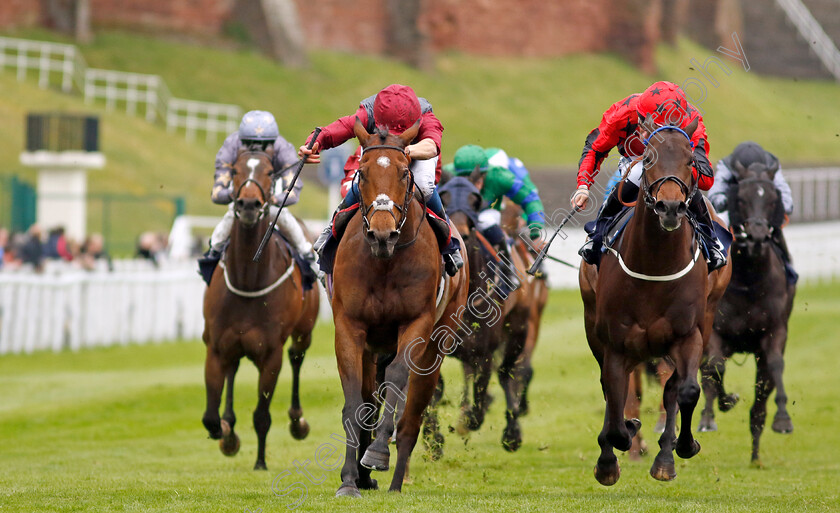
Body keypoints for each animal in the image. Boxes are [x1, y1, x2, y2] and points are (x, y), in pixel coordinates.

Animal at [202, 147, 320, 468]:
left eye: (269, 172)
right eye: (235, 170)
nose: (249, 204)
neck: (248, 280)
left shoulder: (270, 354)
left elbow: (262, 415)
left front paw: (260, 462)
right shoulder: (216, 346)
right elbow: (211, 418)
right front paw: (227, 434)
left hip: (304, 332)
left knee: (297, 357)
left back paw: (298, 422)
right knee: (233, 369)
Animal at [332, 118, 470, 494]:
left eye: (405, 173)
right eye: (362, 173)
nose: (383, 234)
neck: (384, 262)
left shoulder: (416, 323)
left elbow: (396, 379)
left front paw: (378, 454)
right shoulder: (349, 326)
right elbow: (355, 401)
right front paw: (349, 480)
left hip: (437, 345)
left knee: (412, 417)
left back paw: (394, 481)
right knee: (370, 400)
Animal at [580, 120, 732, 484]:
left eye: (691, 160)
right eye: (648, 159)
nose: (671, 207)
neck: (654, 265)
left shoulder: (688, 335)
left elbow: (686, 390)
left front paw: (680, 448)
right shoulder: (616, 341)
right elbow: (615, 394)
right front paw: (612, 454)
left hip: (707, 316)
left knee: (673, 387)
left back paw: (666, 451)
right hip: (593, 325)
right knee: (611, 388)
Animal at [700, 162, 796, 466]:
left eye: (773, 199)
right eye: (740, 199)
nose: (756, 237)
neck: (749, 280)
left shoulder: (774, 331)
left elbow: (775, 366)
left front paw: (783, 419)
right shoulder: (716, 331)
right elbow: (715, 367)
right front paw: (714, 412)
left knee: (760, 400)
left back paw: (755, 454)